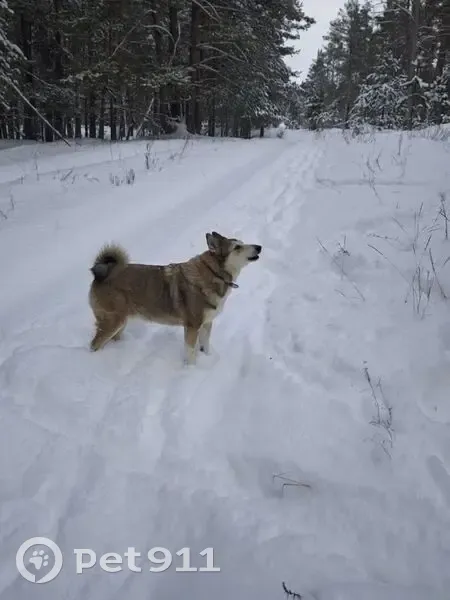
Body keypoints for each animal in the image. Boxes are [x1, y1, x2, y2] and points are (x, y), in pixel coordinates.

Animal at [88, 231, 262, 364]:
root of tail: (102, 274)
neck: (213, 273)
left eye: (242, 243)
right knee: (94, 344)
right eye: (237, 247)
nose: (259, 247)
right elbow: (190, 353)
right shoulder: (192, 326)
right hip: (112, 322)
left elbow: (205, 346)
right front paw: (191, 370)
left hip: (121, 321)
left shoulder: (206, 323)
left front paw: (208, 359)